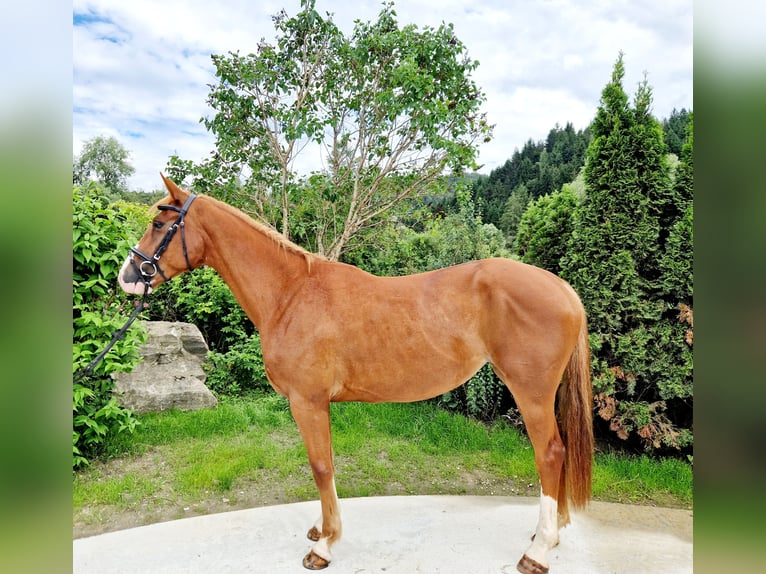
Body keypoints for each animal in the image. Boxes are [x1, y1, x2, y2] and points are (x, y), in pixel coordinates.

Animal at [118, 177, 592, 574]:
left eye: (159, 223)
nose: (127, 277)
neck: (290, 295)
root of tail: (563, 288)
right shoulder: (316, 405)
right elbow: (325, 463)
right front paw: (322, 528)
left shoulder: (307, 401)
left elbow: (320, 466)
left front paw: (324, 546)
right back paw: (548, 535)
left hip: (530, 392)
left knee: (550, 453)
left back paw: (538, 551)